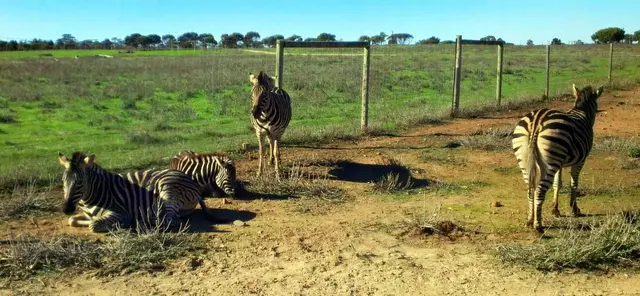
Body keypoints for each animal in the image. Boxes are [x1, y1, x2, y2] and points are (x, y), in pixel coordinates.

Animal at [55, 151, 215, 232]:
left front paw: (123, 223)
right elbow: (72, 220)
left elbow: (93, 225)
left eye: (80, 182)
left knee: (171, 221)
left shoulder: (119, 211)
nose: (65, 209)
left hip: (168, 188)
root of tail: (189, 179)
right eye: (63, 181)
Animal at [510, 84, 604, 232]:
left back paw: (530, 220)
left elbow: (557, 184)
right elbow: (574, 183)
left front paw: (555, 209)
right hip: (551, 159)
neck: (582, 112)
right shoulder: (580, 160)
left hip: (528, 159)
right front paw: (574, 209)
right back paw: (538, 225)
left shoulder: (560, 163)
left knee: (530, 189)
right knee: (539, 191)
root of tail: (537, 121)